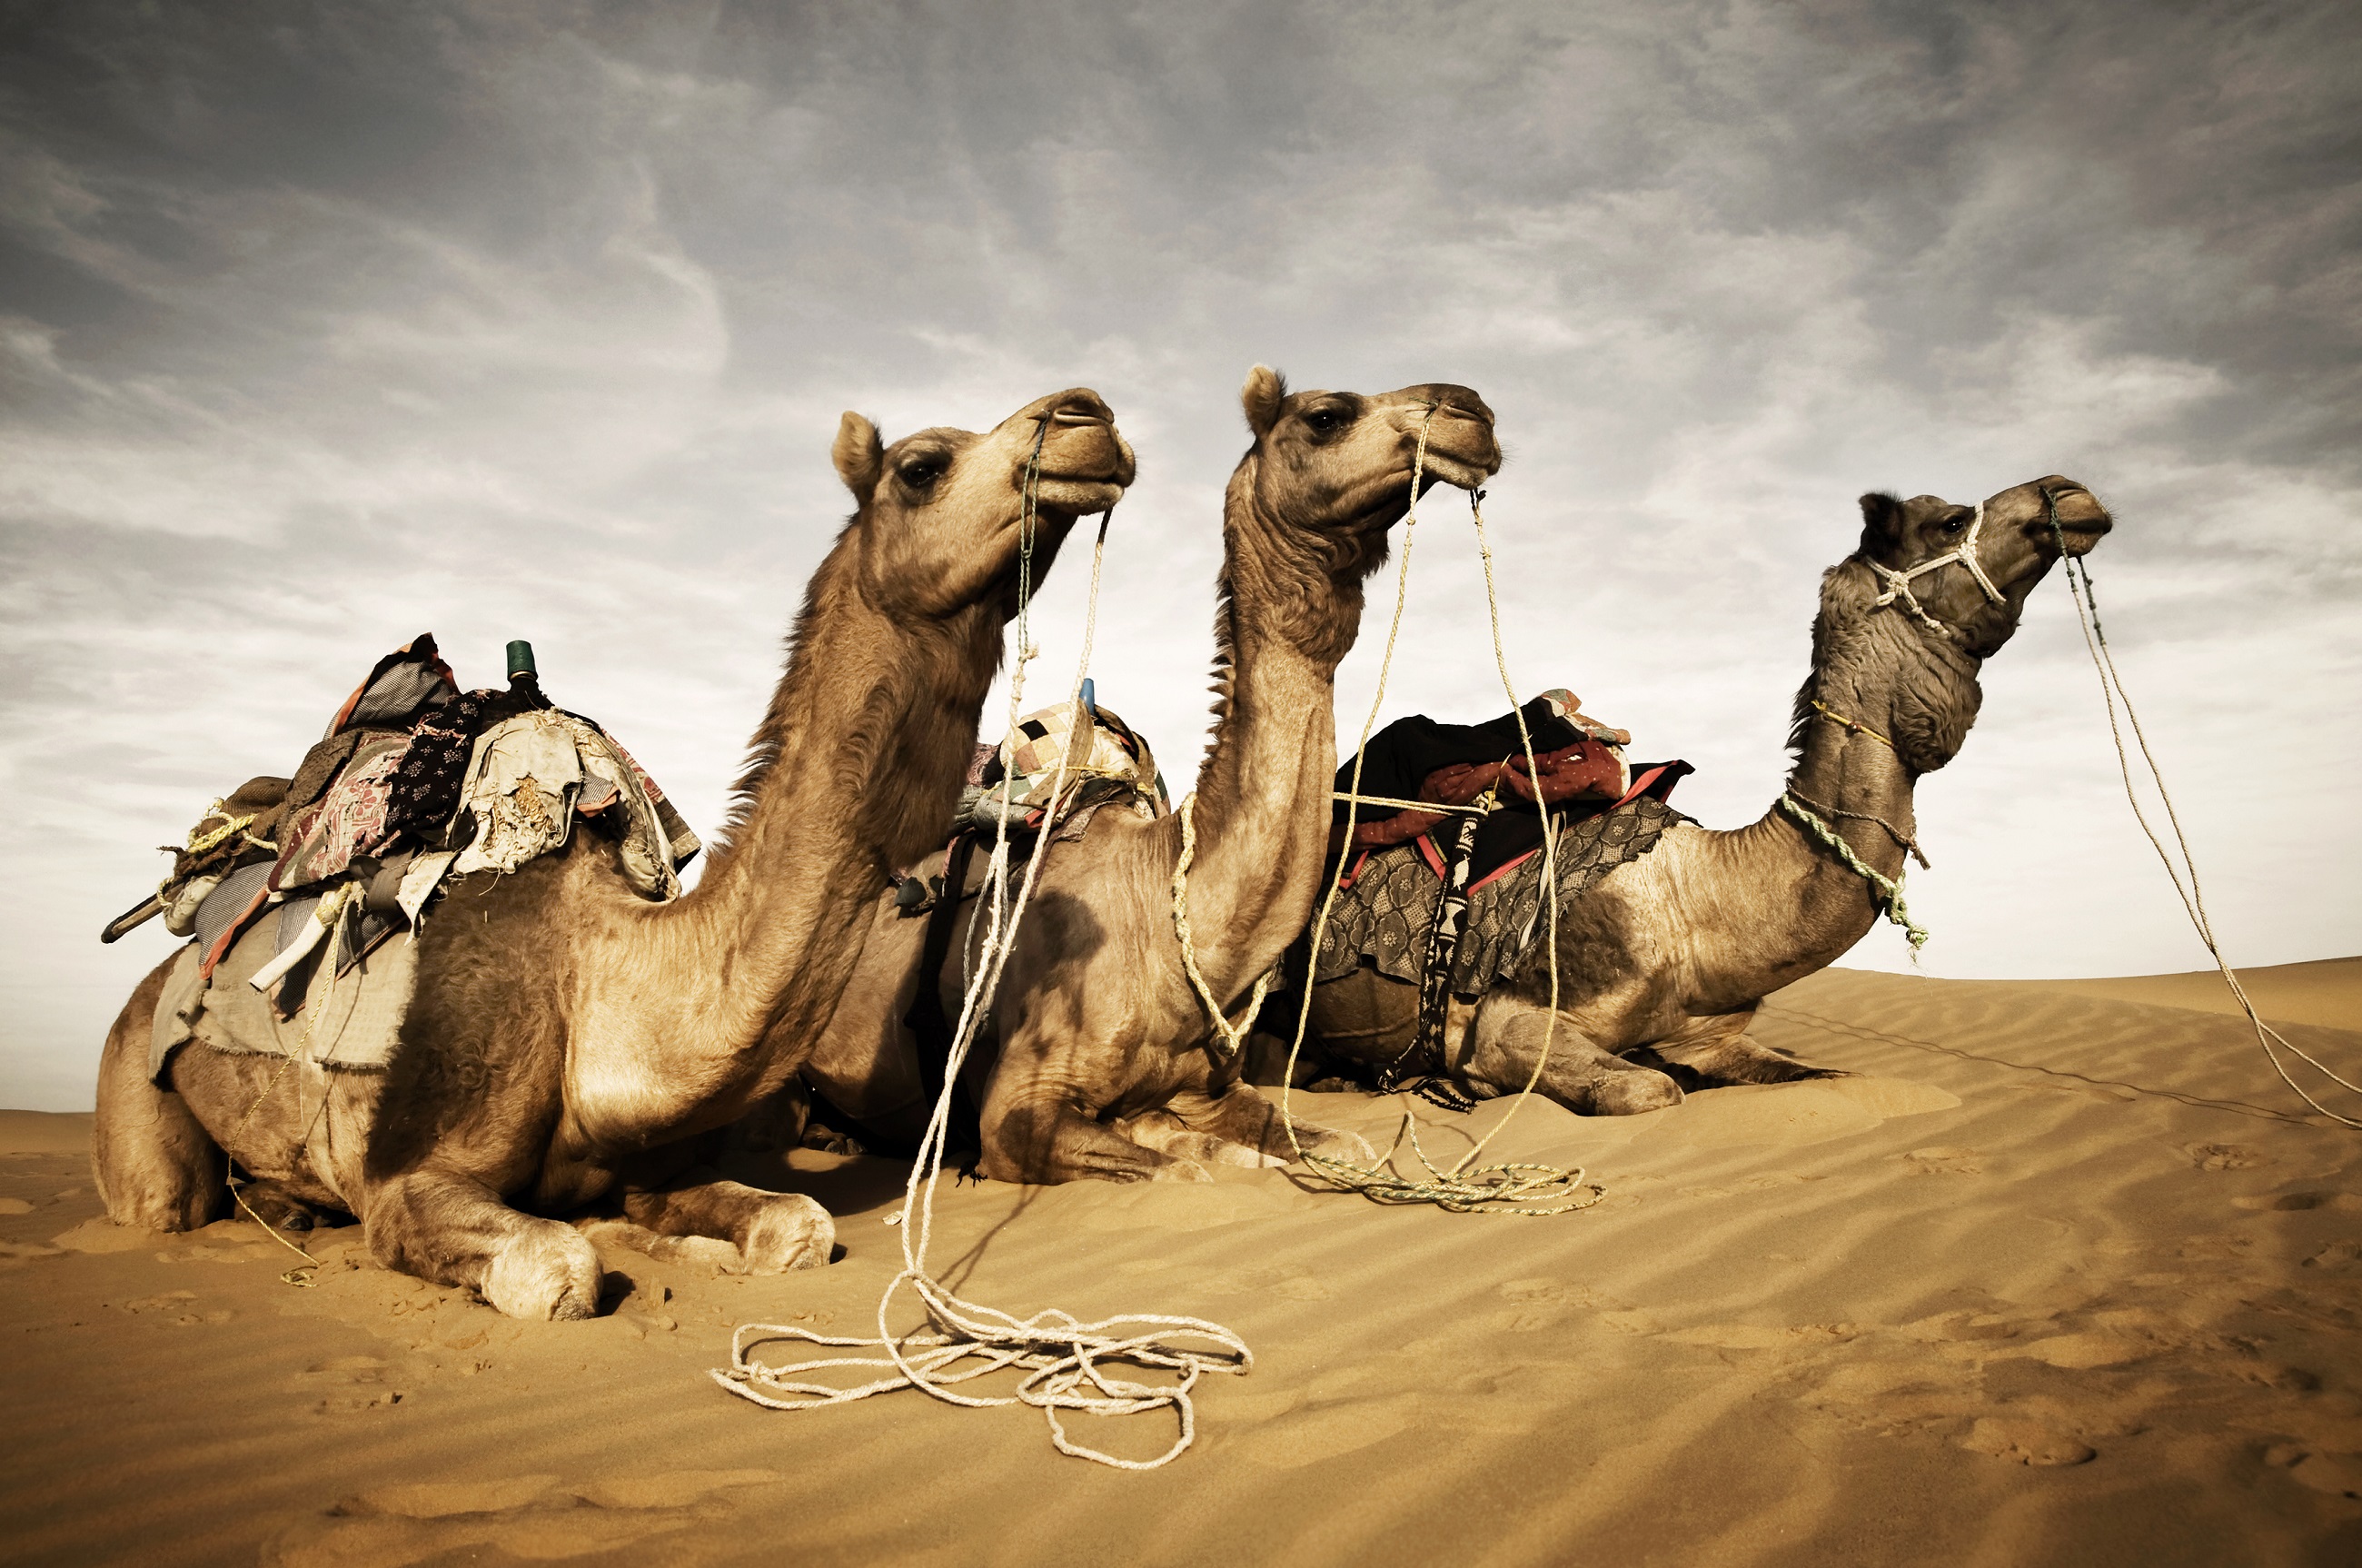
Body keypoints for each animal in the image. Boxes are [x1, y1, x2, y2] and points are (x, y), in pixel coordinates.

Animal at [91, 388, 1136, 1318]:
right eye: (922, 467)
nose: (1088, 416)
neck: (594, 977)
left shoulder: (649, 1161)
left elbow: (796, 1224)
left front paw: (676, 1244)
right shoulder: (405, 1181)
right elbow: (560, 1266)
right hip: (135, 1097)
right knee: (170, 1200)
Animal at [795, 368, 1502, 1181]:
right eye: (1326, 417)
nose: (1472, 411)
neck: (1163, 919)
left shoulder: (1211, 1086)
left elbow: (1330, 1144)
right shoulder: (1017, 1107)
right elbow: (1184, 1170)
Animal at [1290, 477, 2115, 1113]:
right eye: (1949, 519)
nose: (2069, 494)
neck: (1701, 903)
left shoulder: (1711, 1033)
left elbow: (1834, 1075)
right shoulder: (1509, 1021)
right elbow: (1649, 1088)